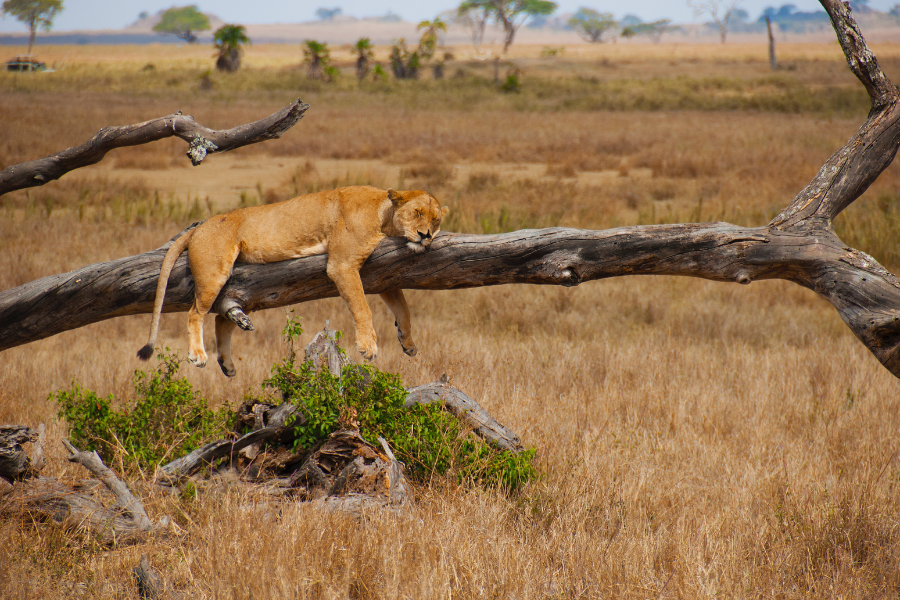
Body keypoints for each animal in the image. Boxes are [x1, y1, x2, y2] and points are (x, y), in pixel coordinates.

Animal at [137, 185, 449, 376]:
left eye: (436, 220)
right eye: (417, 213)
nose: (426, 236)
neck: (384, 217)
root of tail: (201, 225)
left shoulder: (383, 274)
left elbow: (403, 309)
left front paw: (408, 342)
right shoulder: (342, 265)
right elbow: (362, 308)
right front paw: (368, 346)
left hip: (239, 284)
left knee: (221, 318)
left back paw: (226, 364)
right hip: (214, 273)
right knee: (195, 313)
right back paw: (198, 355)